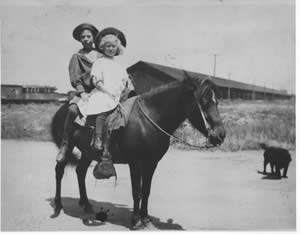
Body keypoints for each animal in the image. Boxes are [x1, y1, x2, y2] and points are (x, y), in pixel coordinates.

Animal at [51, 74, 225, 229]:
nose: (220, 134)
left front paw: (146, 218)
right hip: (69, 146)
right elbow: (136, 191)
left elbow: (146, 190)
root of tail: (63, 108)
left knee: (80, 172)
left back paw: (86, 204)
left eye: (216, 101)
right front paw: (136, 221)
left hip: (88, 152)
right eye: (204, 101)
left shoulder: (152, 162)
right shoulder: (135, 162)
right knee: (59, 170)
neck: (149, 120)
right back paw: (58, 205)